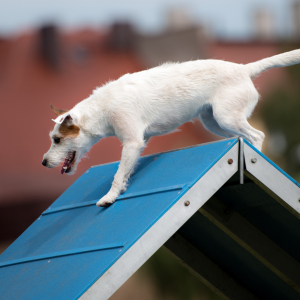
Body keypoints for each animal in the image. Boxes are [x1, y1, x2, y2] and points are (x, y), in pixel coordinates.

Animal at [42, 49, 300, 206]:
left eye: (57, 140)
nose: (43, 162)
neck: (102, 107)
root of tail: (244, 69)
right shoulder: (136, 144)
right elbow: (126, 170)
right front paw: (123, 186)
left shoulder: (132, 141)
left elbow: (118, 173)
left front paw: (110, 197)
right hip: (214, 123)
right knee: (241, 138)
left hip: (227, 118)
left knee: (257, 135)